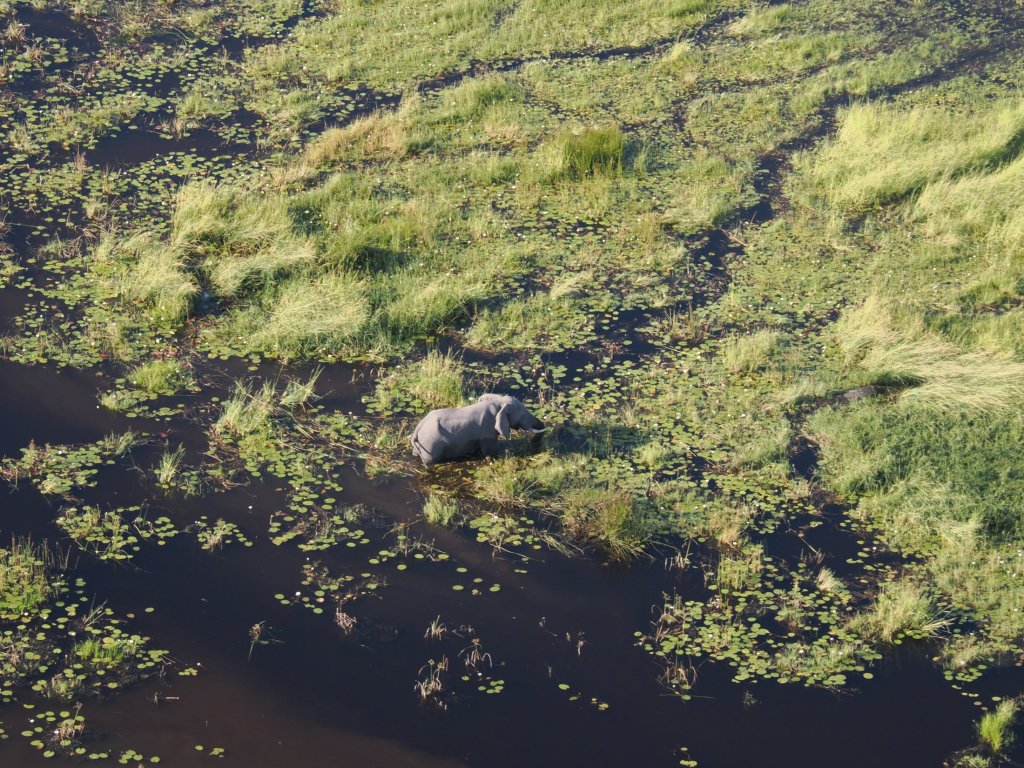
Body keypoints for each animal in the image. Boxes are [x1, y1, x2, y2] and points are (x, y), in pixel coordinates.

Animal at [410, 394, 545, 467]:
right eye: (522, 414)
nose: (535, 442)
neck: (498, 402)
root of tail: (417, 430)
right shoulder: (487, 431)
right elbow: (490, 451)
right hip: (431, 444)